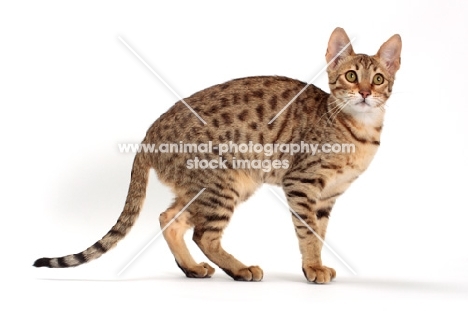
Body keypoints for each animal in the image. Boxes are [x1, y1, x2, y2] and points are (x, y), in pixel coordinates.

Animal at [33, 28, 402, 284]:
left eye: (378, 78)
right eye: (351, 76)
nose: (365, 92)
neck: (358, 130)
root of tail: (149, 134)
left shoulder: (327, 196)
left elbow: (319, 233)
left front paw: (316, 265)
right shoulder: (302, 183)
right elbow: (308, 232)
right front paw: (312, 268)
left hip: (214, 186)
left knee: (169, 219)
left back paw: (192, 268)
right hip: (223, 183)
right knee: (203, 234)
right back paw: (240, 270)